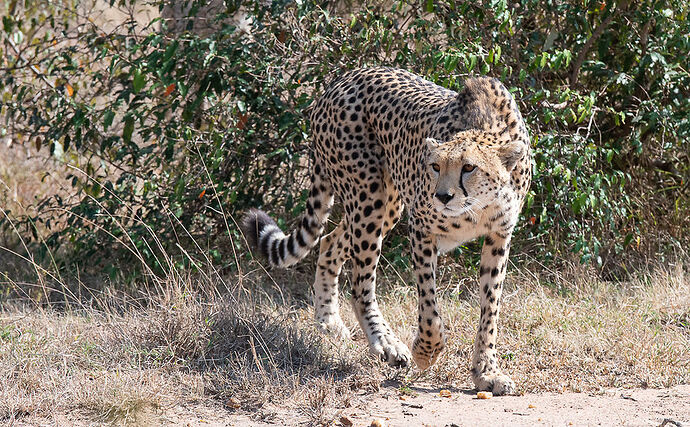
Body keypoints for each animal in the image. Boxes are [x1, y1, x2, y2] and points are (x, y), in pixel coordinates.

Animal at [242, 67, 532, 394]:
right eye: (435, 166)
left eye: (469, 167)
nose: (442, 196)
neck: (478, 207)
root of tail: (344, 78)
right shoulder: (420, 226)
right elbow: (429, 305)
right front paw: (426, 352)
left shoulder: (499, 237)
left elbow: (490, 309)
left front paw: (486, 372)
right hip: (370, 199)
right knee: (360, 283)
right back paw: (385, 343)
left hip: (387, 205)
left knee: (329, 243)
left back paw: (329, 322)